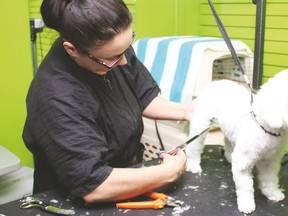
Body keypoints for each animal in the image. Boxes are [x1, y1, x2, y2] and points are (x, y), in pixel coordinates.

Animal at [186, 69, 288, 214]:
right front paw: (246, 204)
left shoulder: (270, 160)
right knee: (194, 146)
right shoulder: (243, 162)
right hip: (200, 124)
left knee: (228, 141)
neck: (265, 128)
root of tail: (217, 81)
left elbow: (270, 179)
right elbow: (246, 186)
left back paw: (228, 156)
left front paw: (272, 193)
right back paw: (193, 165)